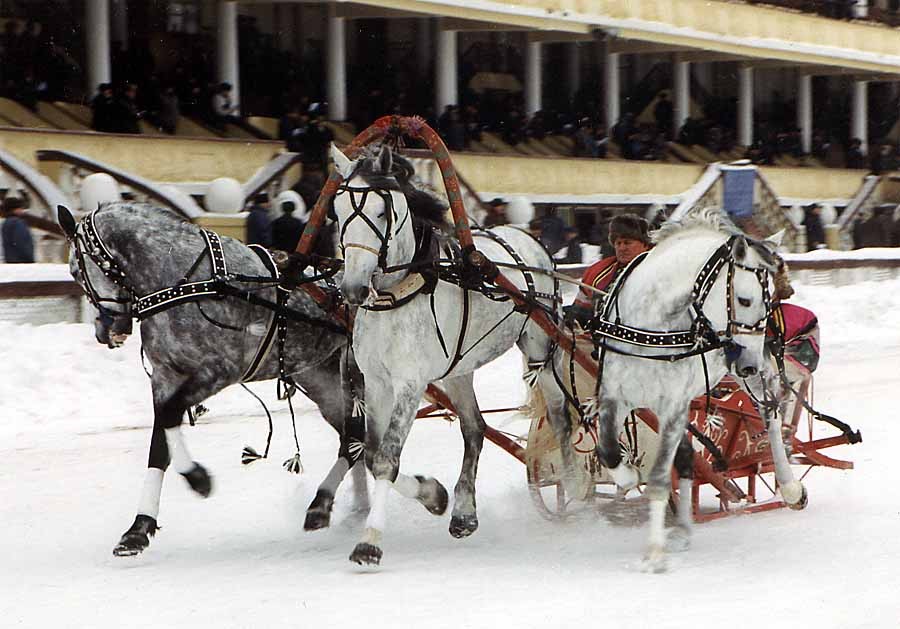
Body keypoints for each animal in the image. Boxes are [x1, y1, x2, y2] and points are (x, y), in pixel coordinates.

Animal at [330, 144, 576, 564]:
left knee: (561, 420)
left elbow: (387, 458)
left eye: (381, 211)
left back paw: (575, 493)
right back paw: (464, 512)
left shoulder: (409, 384)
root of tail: (527, 238)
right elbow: (372, 453)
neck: (400, 294)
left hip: (541, 350)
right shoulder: (376, 382)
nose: (353, 288)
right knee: (474, 428)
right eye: (339, 209)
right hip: (460, 369)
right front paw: (433, 494)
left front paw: (370, 541)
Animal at [592, 209, 800, 572]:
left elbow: (660, 477)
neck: (651, 328)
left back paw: (789, 486)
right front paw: (629, 477)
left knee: (770, 413)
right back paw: (683, 528)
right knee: (689, 455)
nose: (746, 363)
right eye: (744, 299)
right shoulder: (614, 396)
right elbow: (609, 451)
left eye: (767, 302)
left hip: (760, 373)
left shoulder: (672, 406)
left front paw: (654, 552)